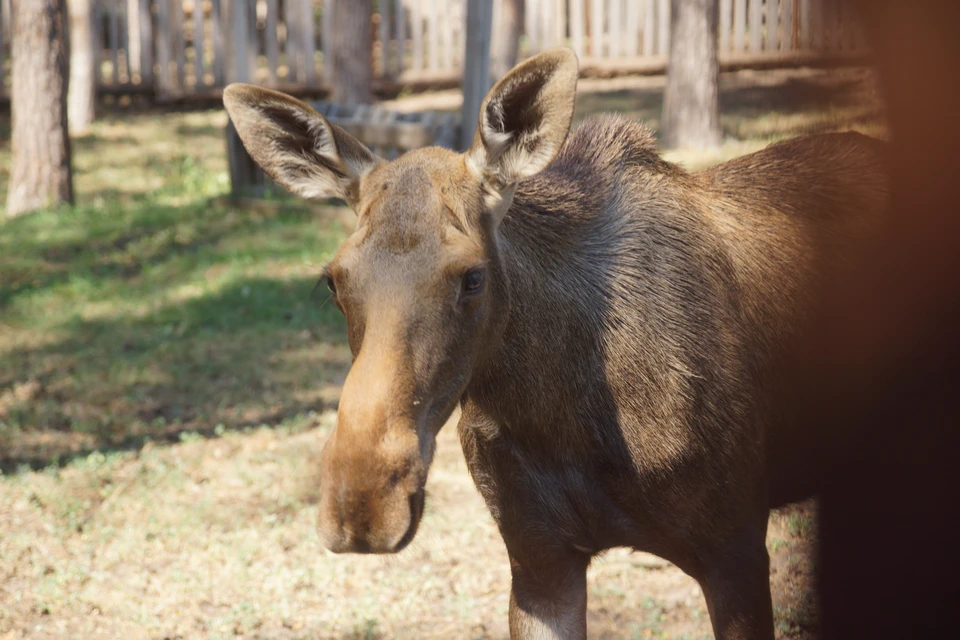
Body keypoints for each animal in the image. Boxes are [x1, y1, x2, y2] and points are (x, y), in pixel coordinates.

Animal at [221, 50, 888, 640]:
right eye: (333, 280)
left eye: (472, 276)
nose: (362, 502)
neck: (565, 418)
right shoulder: (538, 561)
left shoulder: (737, 548)